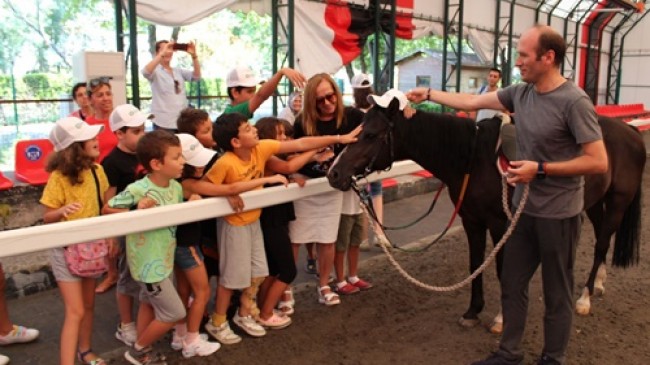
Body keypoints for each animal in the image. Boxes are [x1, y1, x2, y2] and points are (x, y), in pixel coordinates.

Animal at [330, 99, 644, 330]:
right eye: (358, 130)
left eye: (371, 135)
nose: (333, 173)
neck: (473, 159)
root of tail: (630, 131)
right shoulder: (472, 221)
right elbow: (475, 264)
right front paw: (472, 311)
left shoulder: (499, 223)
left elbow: (502, 269)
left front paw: (501, 318)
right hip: (593, 203)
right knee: (603, 239)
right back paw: (599, 283)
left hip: (617, 201)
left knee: (601, 244)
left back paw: (585, 298)